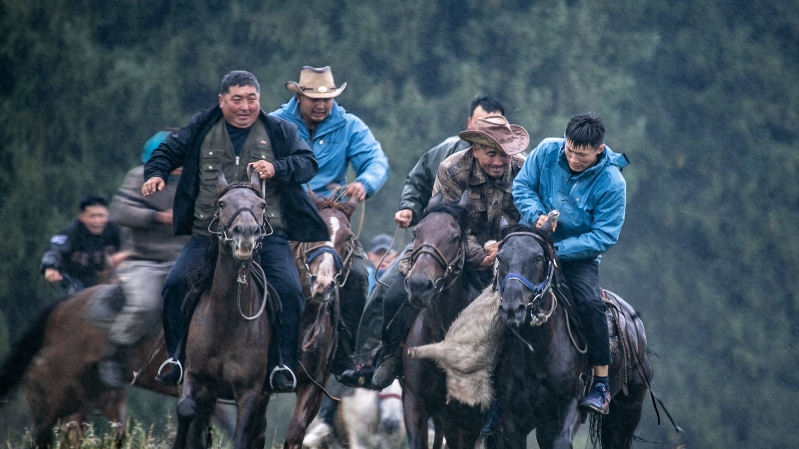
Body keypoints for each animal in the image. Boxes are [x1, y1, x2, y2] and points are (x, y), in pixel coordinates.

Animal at [173, 172, 274, 449]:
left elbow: (241, 436)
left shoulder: (250, 393)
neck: (226, 324)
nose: (246, 233)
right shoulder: (196, 377)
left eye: (261, 204)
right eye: (222, 203)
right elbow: (186, 411)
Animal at [492, 221, 653, 449]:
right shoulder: (513, 423)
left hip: (627, 412)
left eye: (538, 258)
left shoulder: (572, 405)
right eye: (500, 256)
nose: (513, 309)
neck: (541, 352)